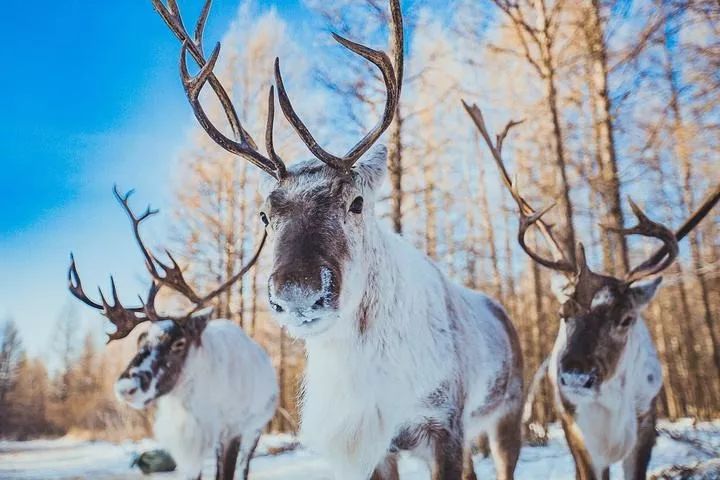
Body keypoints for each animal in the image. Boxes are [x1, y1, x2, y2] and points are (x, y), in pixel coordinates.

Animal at [68, 187, 278, 480]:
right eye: (140, 340)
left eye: (179, 343)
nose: (125, 386)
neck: (191, 403)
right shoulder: (190, 445)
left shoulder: (233, 432)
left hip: (255, 429)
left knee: (244, 467)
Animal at [151, 1, 524, 479]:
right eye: (265, 214)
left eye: (357, 202)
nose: (297, 293)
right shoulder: (378, 445)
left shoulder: (446, 426)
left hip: (507, 413)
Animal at [463, 101, 720, 480]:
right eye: (563, 313)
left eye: (626, 318)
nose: (575, 375)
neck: (610, 407)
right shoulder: (575, 429)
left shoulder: (646, 422)